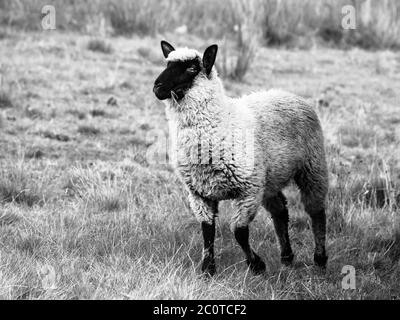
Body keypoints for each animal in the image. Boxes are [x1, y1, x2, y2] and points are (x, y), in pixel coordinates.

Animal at [153, 39, 328, 276]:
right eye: (167, 64)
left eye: (191, 69)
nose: (157, 87)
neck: (221, 120)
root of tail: (287, 93)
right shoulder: (200, 193)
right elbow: (207, 231)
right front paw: (208, 269)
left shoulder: (248, 191)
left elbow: (239, 232)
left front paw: (257, 265)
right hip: (269, 180)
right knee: (281, 211)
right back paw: (287, 257)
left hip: (312, 166)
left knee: (316, 211)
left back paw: (320, 259)